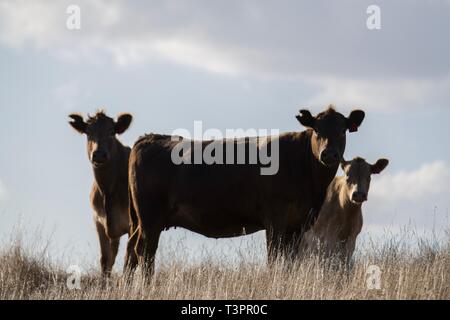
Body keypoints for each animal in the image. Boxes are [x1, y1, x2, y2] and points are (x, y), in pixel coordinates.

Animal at [68, 111, 135, 276]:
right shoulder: (99, 222)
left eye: (112, 132)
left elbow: (129, 261)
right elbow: (106, 260)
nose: (98, 154)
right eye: (88, 132)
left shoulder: (133, 224)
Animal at [127, 106, 366, 276]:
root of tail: (150, 137)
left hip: (140, 220)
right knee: (145, 252)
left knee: (132, 250)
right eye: (316, 129)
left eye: (343, 130)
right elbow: (274, 259)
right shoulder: (275, 218)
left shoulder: (298, 224)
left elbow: (290, 261)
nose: (329, 154)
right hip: (150, 218)